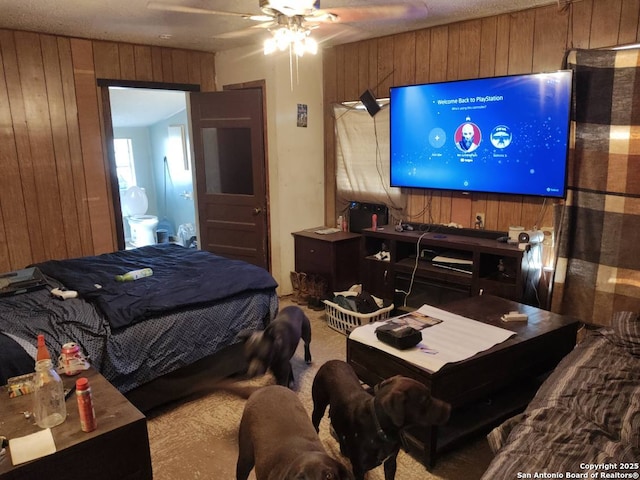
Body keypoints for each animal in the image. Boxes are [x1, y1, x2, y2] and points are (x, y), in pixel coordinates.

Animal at [310, 360, 450, 480]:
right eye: (425, 399)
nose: (449, 408)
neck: (380, 429)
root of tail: (330, 362)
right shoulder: (359, 470)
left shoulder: (391, 462)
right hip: (319, 405)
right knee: (316, 424)